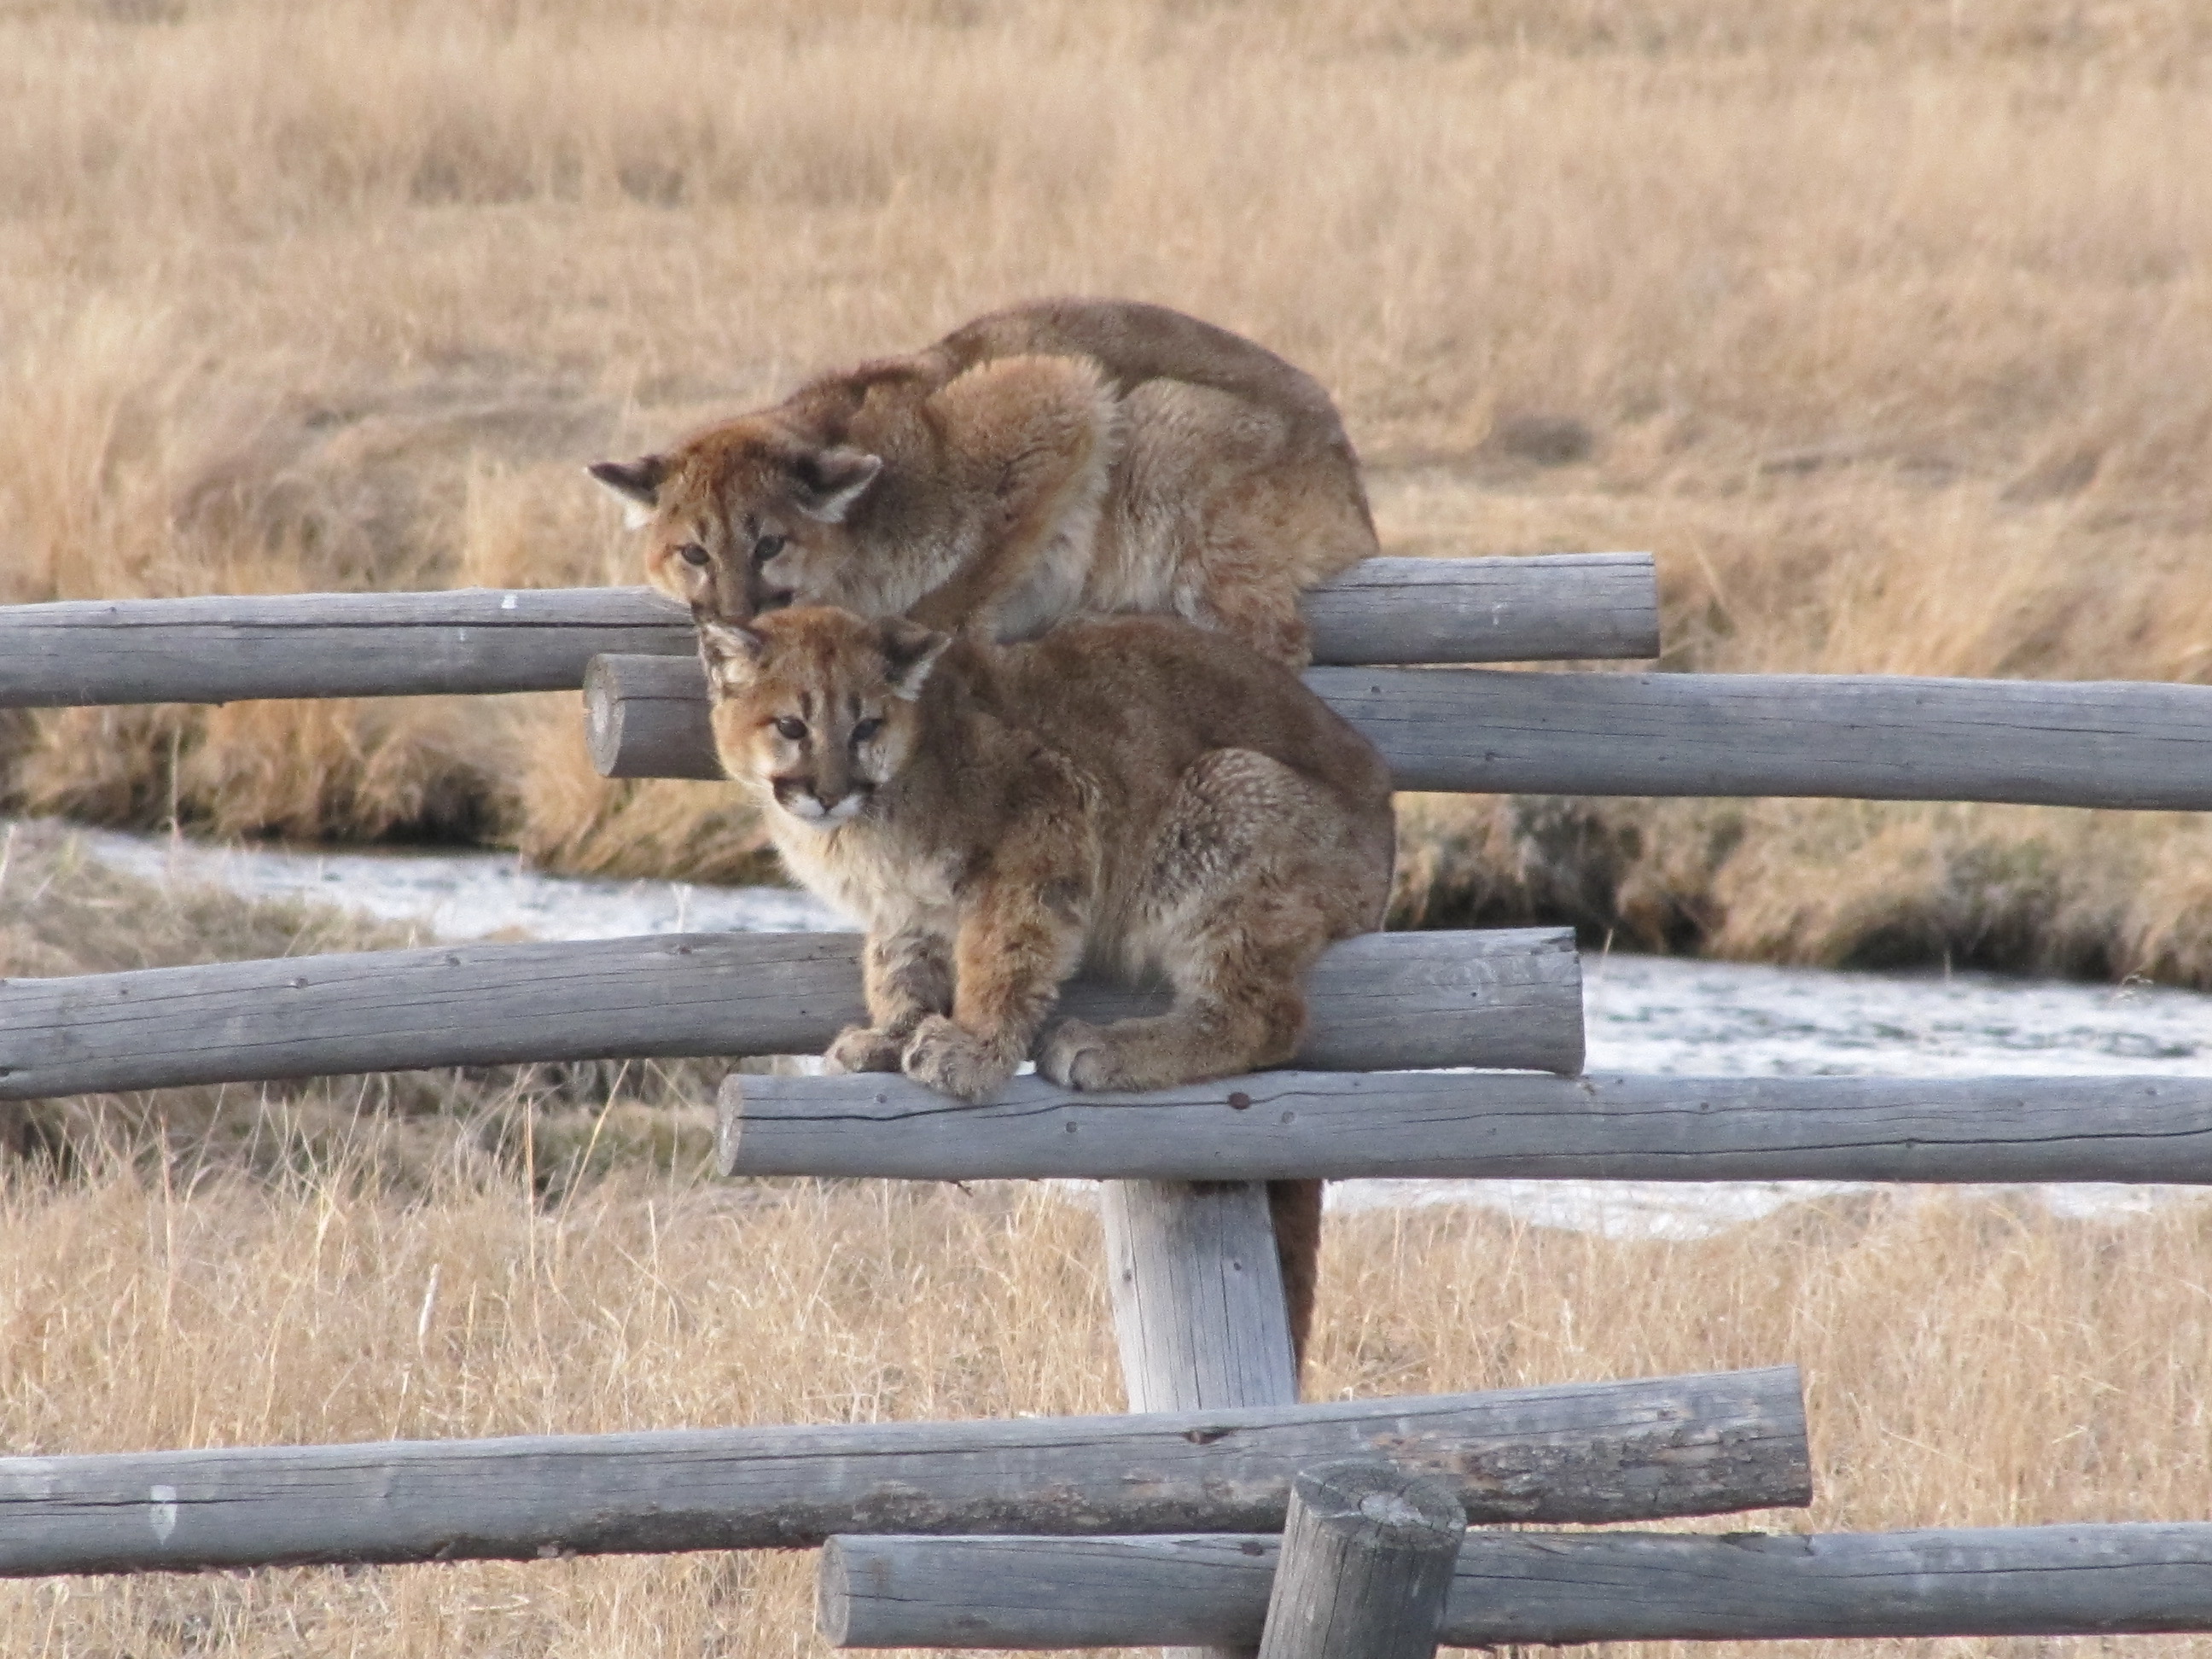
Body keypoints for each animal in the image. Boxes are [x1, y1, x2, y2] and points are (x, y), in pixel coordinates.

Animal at [597, 298, 1371, 667]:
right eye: (693, 553)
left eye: (769, 545)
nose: (732, 619)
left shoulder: (1061, 393)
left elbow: (985, 559)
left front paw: (934, 631)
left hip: (1159, 423)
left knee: (1275, 643)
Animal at [699, 606, 1388, 1353]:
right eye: (791, 726)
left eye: (865, 727)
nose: (829, 793)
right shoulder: (906, 908)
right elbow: (898, 966)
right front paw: (891, 1034)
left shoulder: (1049, 819)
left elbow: (1003, 954)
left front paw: (971, 1051)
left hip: (1226, 796)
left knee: (1265, 1016)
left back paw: (1102, 1047)